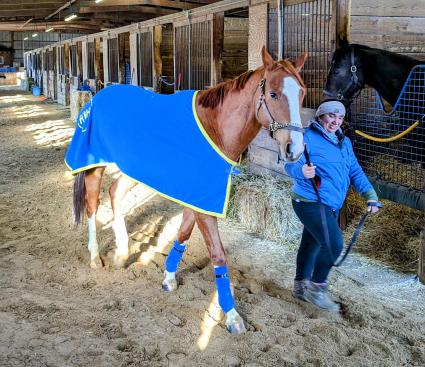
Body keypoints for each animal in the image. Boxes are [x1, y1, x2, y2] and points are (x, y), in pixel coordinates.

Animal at [68, 47, 304, 334]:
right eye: (273, 94)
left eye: (302, 93)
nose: (295, 149)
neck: (215, 128)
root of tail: (97, 98)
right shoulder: (204, 201)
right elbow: (218, 254)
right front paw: (232, 315)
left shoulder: (199, 196)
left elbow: (182, 234)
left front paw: (168, 278)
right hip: (96, 163)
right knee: (92, 203)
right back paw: (94, 257)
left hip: (133, 168)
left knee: (115, 193)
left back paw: (122, 253)